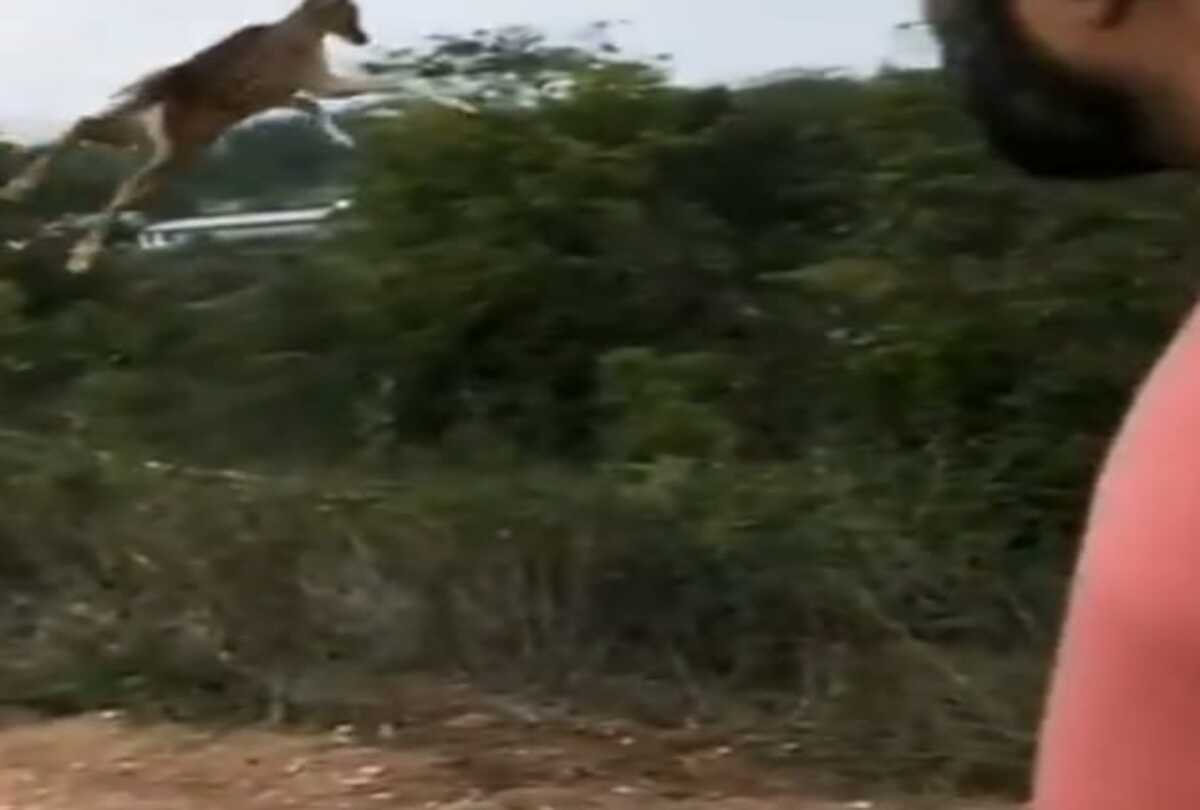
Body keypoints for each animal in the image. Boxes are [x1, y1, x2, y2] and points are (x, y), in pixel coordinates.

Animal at [0, 0, 478, 274]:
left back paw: (19, 192)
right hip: (170, 158)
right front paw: (461, 103)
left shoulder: (291, 94)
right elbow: (386, 84)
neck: (298, 35)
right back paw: (77, 256)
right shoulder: (317, 81)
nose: (363, 37)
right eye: (352, 11)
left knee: (84, 129)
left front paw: (342, 140)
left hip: (142, 142)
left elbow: (316, 110)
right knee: (120, 187)